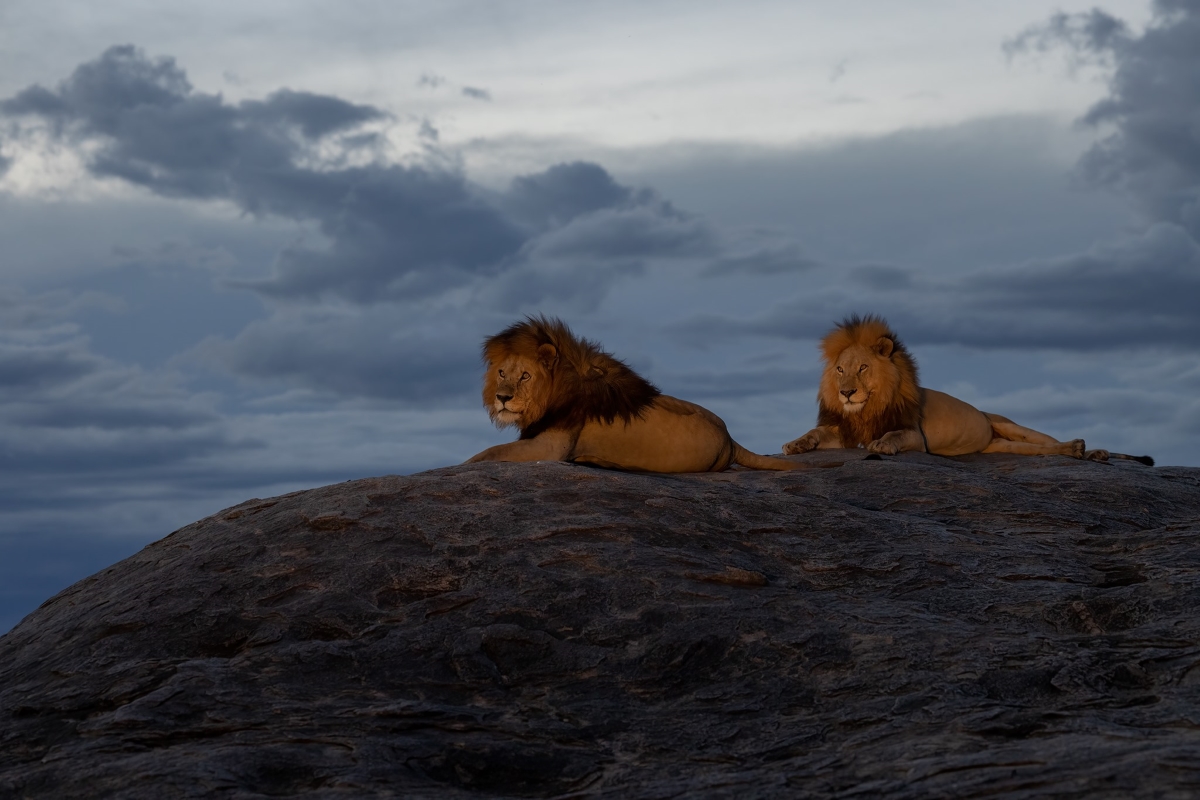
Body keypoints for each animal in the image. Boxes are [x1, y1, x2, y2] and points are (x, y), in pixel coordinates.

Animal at [465, 316, 806, 472]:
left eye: (525, 375)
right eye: (501, 373)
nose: (502, 398)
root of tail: (731, 439)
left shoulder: (552, 448)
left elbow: (490, 452)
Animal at [777, 311, 1152, 462]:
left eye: (863, 367)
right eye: (840, 370)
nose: (846, 392)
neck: (868, 407)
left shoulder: (915, 436)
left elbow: (894, 435)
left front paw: (882, 444)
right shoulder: (844, 431)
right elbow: (815, 434)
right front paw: (795, 444)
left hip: (1011, 425)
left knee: (1049, 441)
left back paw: (1085, 449)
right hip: (1000, 447)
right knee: (1037, 451)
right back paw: (1083, 452)